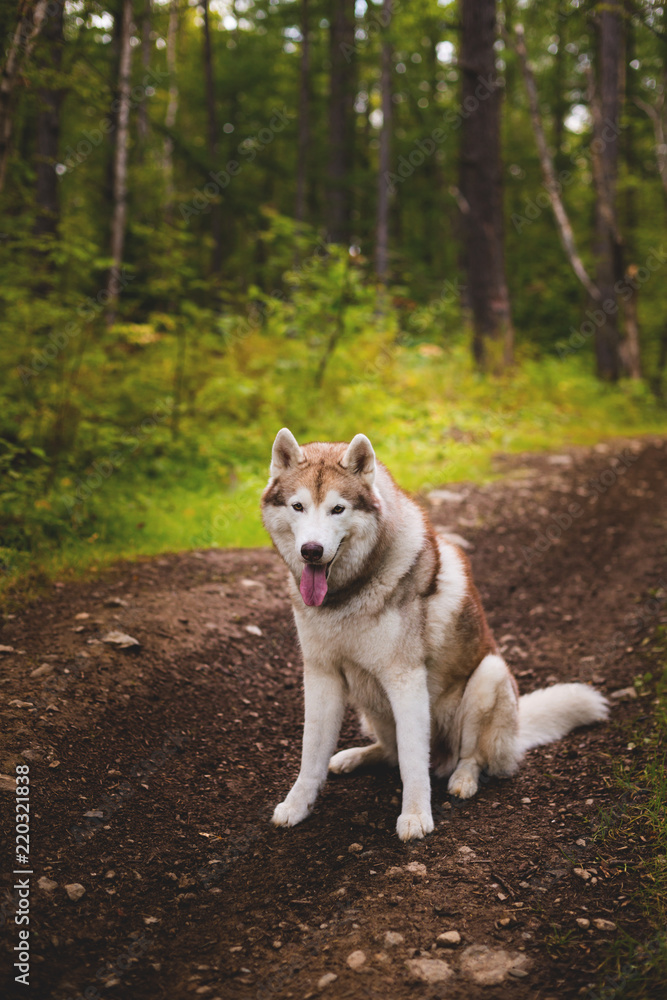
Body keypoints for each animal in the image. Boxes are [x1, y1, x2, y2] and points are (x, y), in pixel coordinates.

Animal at [262, 426, 612, 840]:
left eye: (338, 509)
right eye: (298, 507)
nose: (311, 551)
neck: (347, 596)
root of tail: (515, 733)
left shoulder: (405, 679)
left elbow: (414, 762)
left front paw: (415, 816)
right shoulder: (321, 674)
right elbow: (310, 754)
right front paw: (297, 806)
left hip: (489, 677)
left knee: (470, 757)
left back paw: (463, 780)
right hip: (369, 708)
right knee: (390, 751)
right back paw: (355, 756)